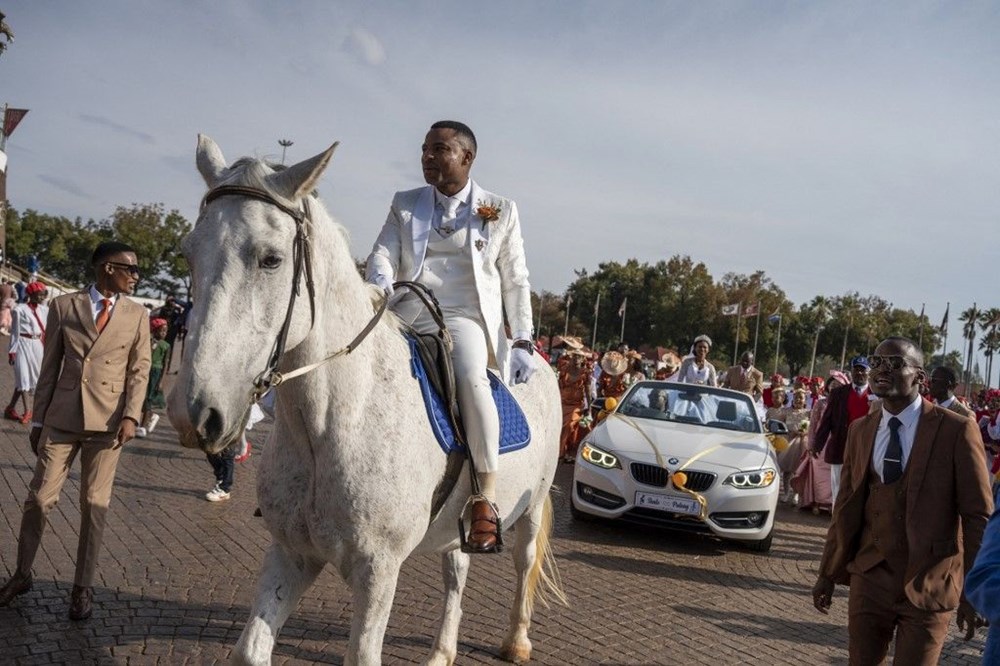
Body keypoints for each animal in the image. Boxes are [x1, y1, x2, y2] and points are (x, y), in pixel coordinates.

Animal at [168, 135, 568, 664]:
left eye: (271, 259)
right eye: (189, 254)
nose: (194, 414)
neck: (331, 421)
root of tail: (542, 359)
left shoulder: (378, 571)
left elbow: (362, 653)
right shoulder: (291, 554)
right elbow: (251, 650)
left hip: (534, 503)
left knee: (523, 562)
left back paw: (517, 640)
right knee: (456, 572)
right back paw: (441, 651)